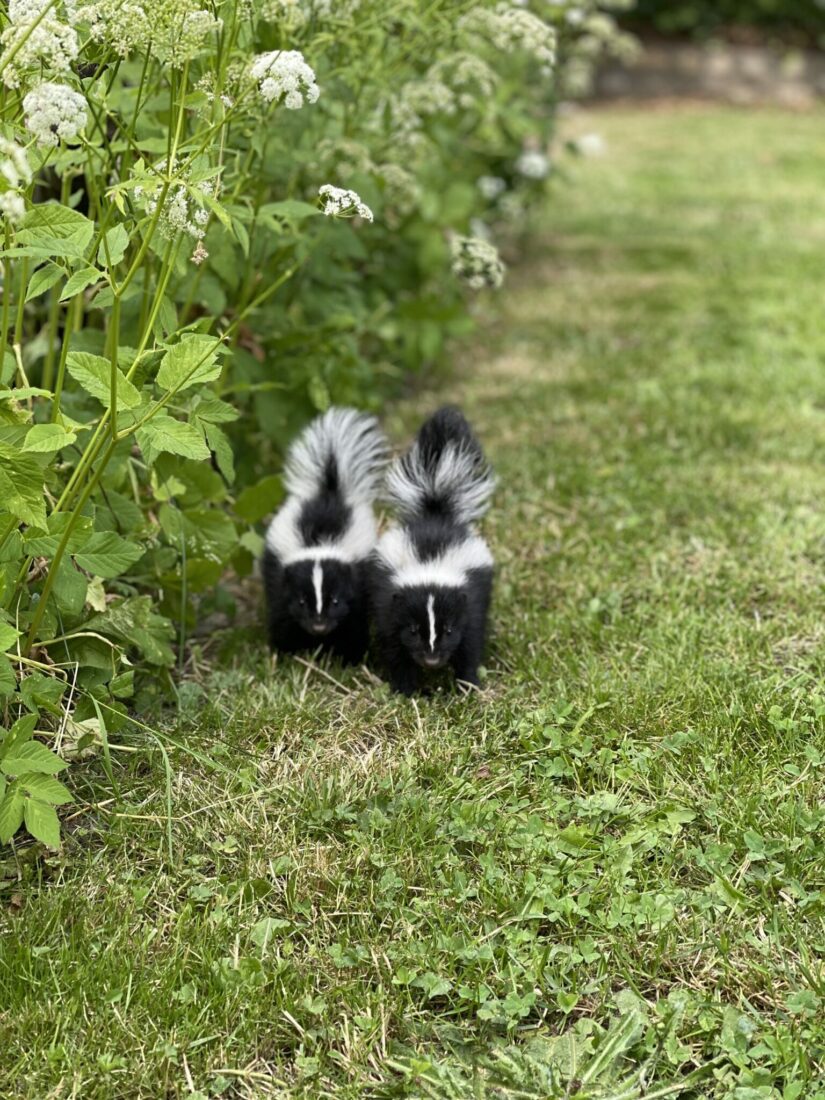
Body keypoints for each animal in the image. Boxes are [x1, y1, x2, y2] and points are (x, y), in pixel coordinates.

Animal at [265, 404, 391, 660]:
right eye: (302, 602)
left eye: (334, 601)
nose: (319, 625)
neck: (320, 543)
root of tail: (329, 487)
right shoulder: (280, 579)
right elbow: (282, 617)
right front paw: (286, 653)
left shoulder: (358, 582)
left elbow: (354, 623)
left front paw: (351, 657)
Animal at [374, 404, 497, 695]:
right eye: (413, 630)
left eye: (449, 630)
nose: (431, 660)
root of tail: (436, 508)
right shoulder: (388, 604)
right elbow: (394, 648)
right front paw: (405, 689)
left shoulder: (471, 602)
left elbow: (470, 643)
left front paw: (468, 685)